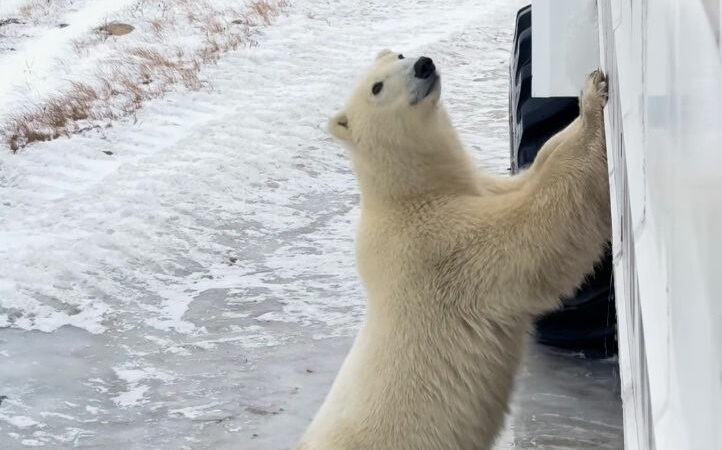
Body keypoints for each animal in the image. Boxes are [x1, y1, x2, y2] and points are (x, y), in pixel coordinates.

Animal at [296, 50, 608, 450]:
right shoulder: (437, 243)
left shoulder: (481, 190)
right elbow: (537, 226)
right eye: (377, 87)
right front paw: (592, 103)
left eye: (399, 53)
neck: (407, 194)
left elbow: (532, 173)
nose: (423, 64)